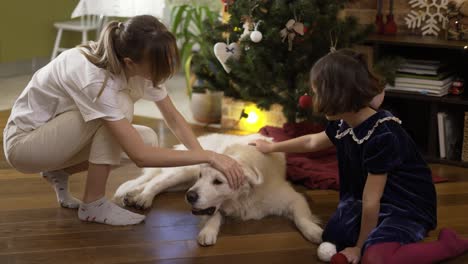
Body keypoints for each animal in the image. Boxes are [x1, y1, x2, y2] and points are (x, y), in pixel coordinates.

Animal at [115, 133, 324, 246]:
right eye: (202, 176)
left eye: (218, 181)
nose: (190, 196)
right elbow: (214, 215)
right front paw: (208, 231)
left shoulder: (292, 198)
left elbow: (301, 217)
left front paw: (313, 231)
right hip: (182, 172)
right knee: (156, 182)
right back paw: (143, 197)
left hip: (182, 182)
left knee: (152, 181)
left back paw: (132, 196)